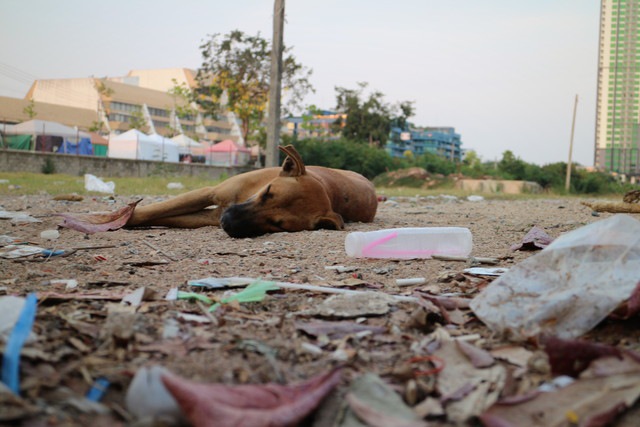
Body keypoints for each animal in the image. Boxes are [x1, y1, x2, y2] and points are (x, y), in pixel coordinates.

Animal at [59, 145, 378, 239]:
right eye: (268, 193)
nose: (228, 222)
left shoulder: (208, 216)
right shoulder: (210, 193)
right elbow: (151, 210)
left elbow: (150, 214)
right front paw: (104, 218)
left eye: (277, 225)